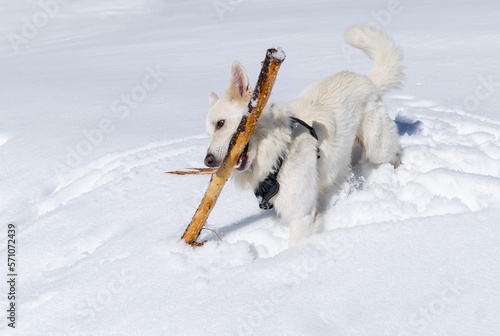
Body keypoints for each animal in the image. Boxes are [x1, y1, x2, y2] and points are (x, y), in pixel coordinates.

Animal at [203, 25, 402, 247]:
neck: (279, 150)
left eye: (220, 123)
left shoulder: (302, 215)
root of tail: (366, 79)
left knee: (395, 154)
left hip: (378, 148)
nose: (207, 160)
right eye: (208, 132)